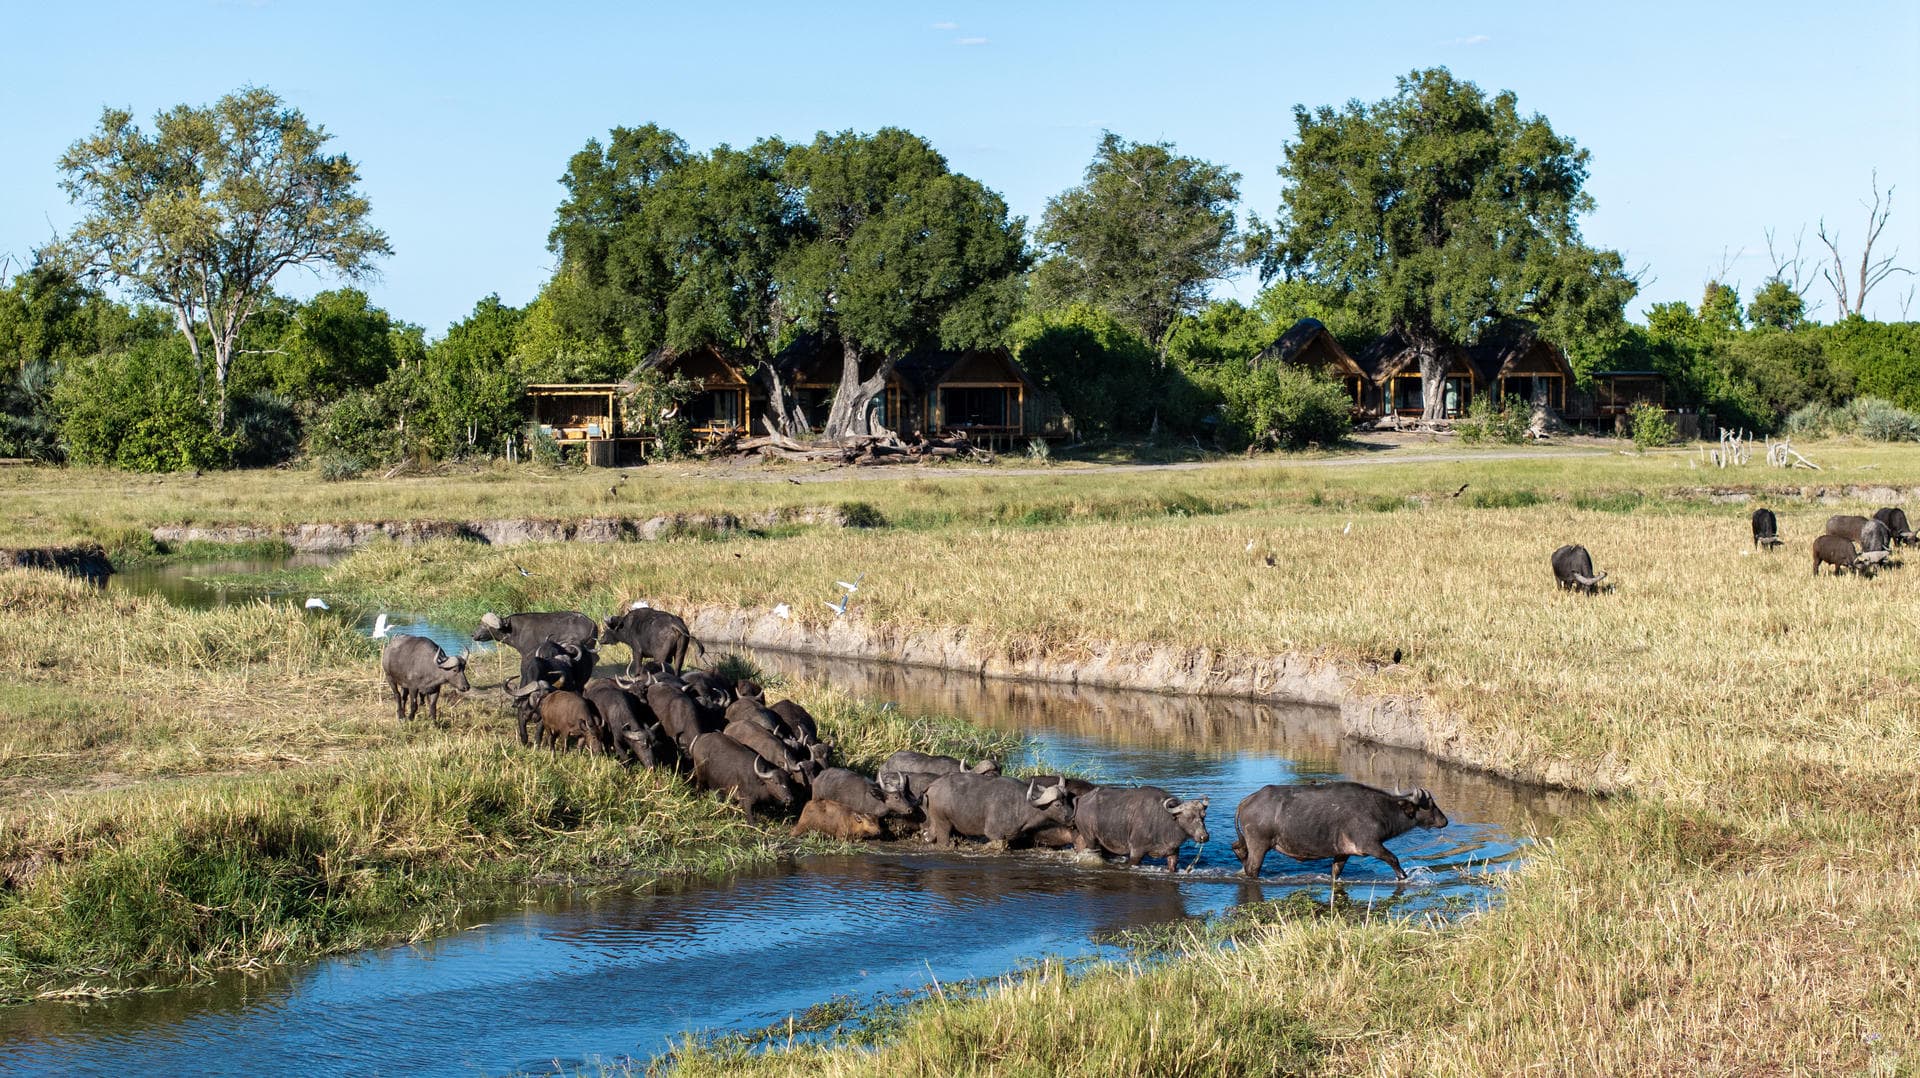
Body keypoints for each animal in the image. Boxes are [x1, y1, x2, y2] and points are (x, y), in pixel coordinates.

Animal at [1071, 786, 1210, 872]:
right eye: (1189, 817)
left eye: (1203, 816)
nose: (1204, 836)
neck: (1165, 821)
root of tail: (1082, 799)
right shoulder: (1136, 852)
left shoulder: (1173, 853)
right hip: (1090, 839)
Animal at [1230, 782, 1448, 881]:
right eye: (1429, 805)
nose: (1444, 821)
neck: (1379, 810)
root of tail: (1248, 800)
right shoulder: (1370, 845)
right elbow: (1393, 859)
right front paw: (1403, 877)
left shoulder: (1342, 853)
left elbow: (1336, 871)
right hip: (1259, 846)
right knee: (1252, 869)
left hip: (1247, 842)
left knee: (1237, 848)